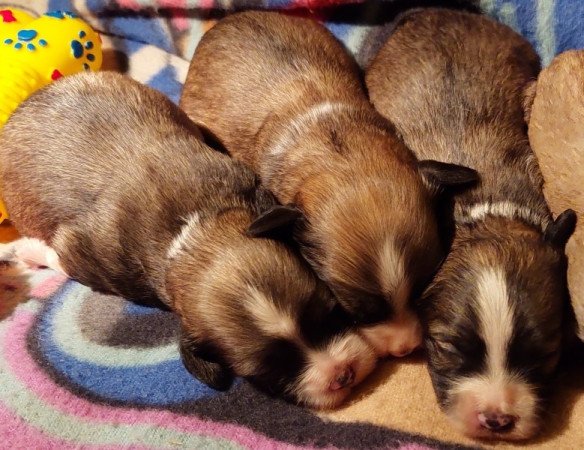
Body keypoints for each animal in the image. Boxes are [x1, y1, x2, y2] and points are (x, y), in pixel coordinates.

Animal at [0, 70, 378, 408]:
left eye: (332, 312)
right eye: (269, 370)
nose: (342, 373)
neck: (196, 234)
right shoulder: (88, 258)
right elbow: (58, 256)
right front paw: (27, 249)